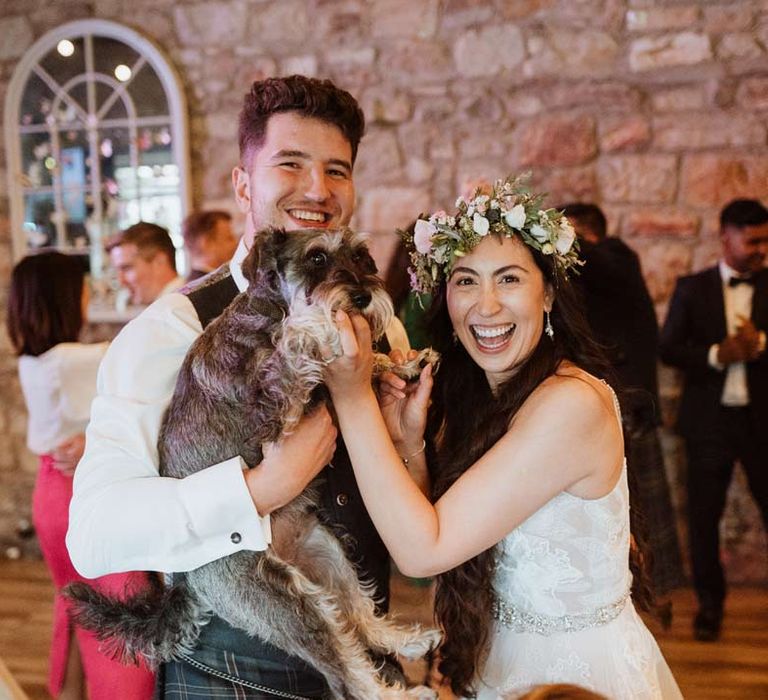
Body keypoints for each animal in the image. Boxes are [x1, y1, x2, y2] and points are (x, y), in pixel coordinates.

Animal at [69, 227, 440, 696]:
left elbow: (367, 362)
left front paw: (404, 364)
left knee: (356, 614)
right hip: (285, 604)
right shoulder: (271, 401)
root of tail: (186, 583)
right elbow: (294, 347)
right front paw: (318, 326)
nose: (361, 296)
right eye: (317, 258)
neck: (269, 310)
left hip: (327, 553)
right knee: (346, 672)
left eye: (361, 256)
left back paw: (406, 640)